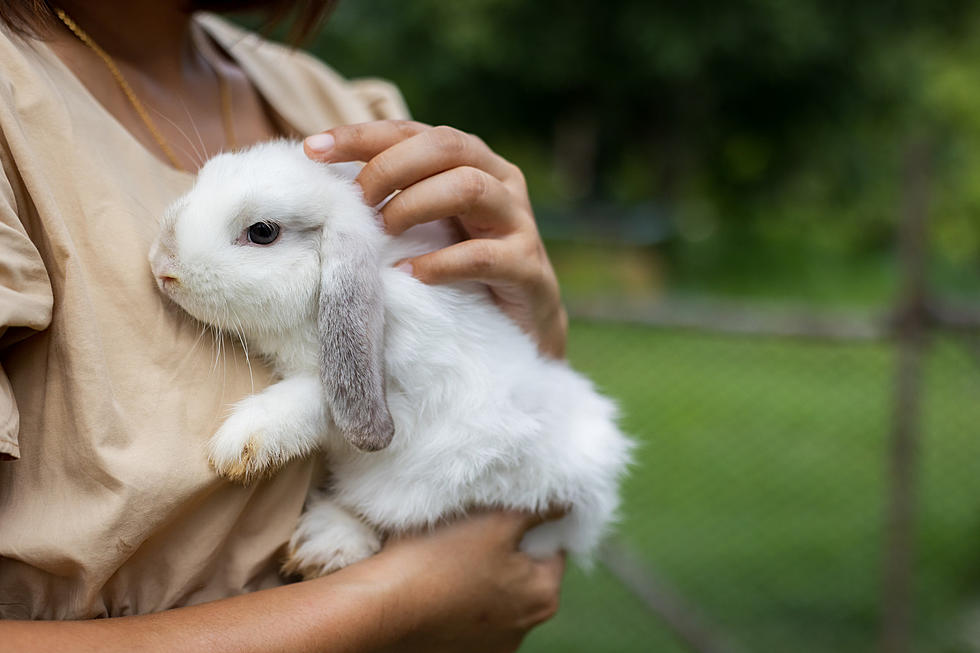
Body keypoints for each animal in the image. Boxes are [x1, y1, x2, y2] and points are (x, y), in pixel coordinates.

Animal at [149, 140, 632, 580]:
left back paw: (327, 543)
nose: (161, 264)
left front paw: (240, 443)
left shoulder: (402, 389)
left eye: (263, 232)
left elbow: (319, 395)